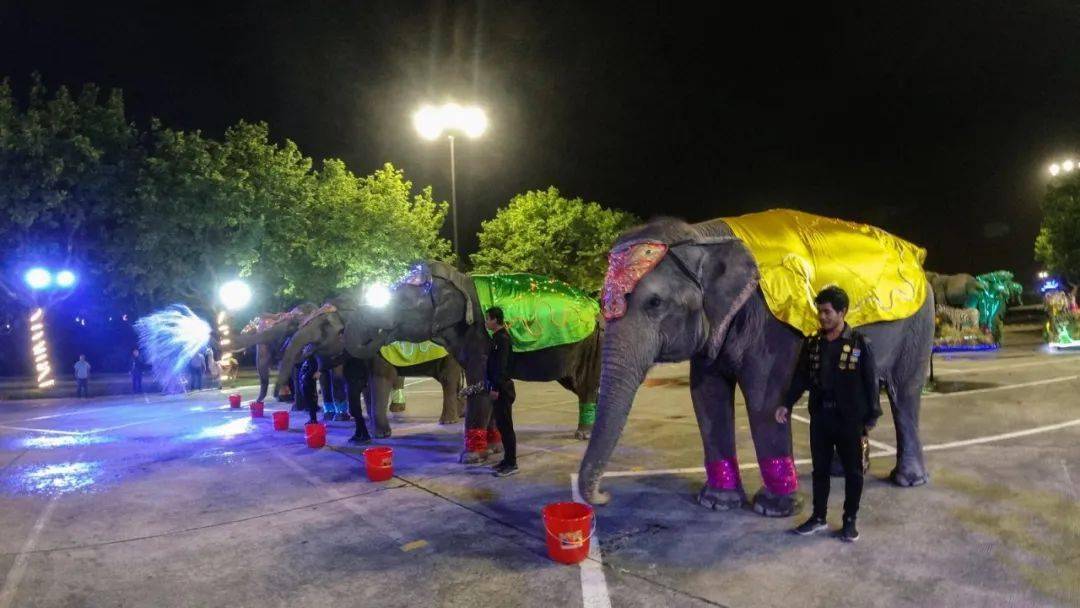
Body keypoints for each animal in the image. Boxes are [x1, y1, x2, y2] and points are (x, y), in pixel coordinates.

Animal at [276, 300, 466, 442]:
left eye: (325, 326)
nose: (279, 394)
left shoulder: (376, 351)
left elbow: (380, 381)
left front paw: (380, 435)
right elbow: (366, 387)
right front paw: (369, 431)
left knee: (447, 379)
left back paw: (448, 421)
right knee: (453, 381)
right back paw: (460, 415)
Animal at [388, 261, 609, 466]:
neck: (461, 281)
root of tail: (595, 305)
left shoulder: (479, 338)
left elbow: (480, 388)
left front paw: (470, 458)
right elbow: (490, 389)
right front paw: (495, 449)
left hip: (591, 343)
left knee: (586, 384)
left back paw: (584, 434)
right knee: (579, 384)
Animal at [574, 211, 937, 516]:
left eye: (655, 303)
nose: (603, 495)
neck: (704, 234)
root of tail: (917, 256)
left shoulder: (772, 325)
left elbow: (766, 399)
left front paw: (773, 509)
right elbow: (707, 396)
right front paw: (717, 502)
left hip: (918, 327)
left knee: (904, 394)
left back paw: (907, 480)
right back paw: (842, 471)